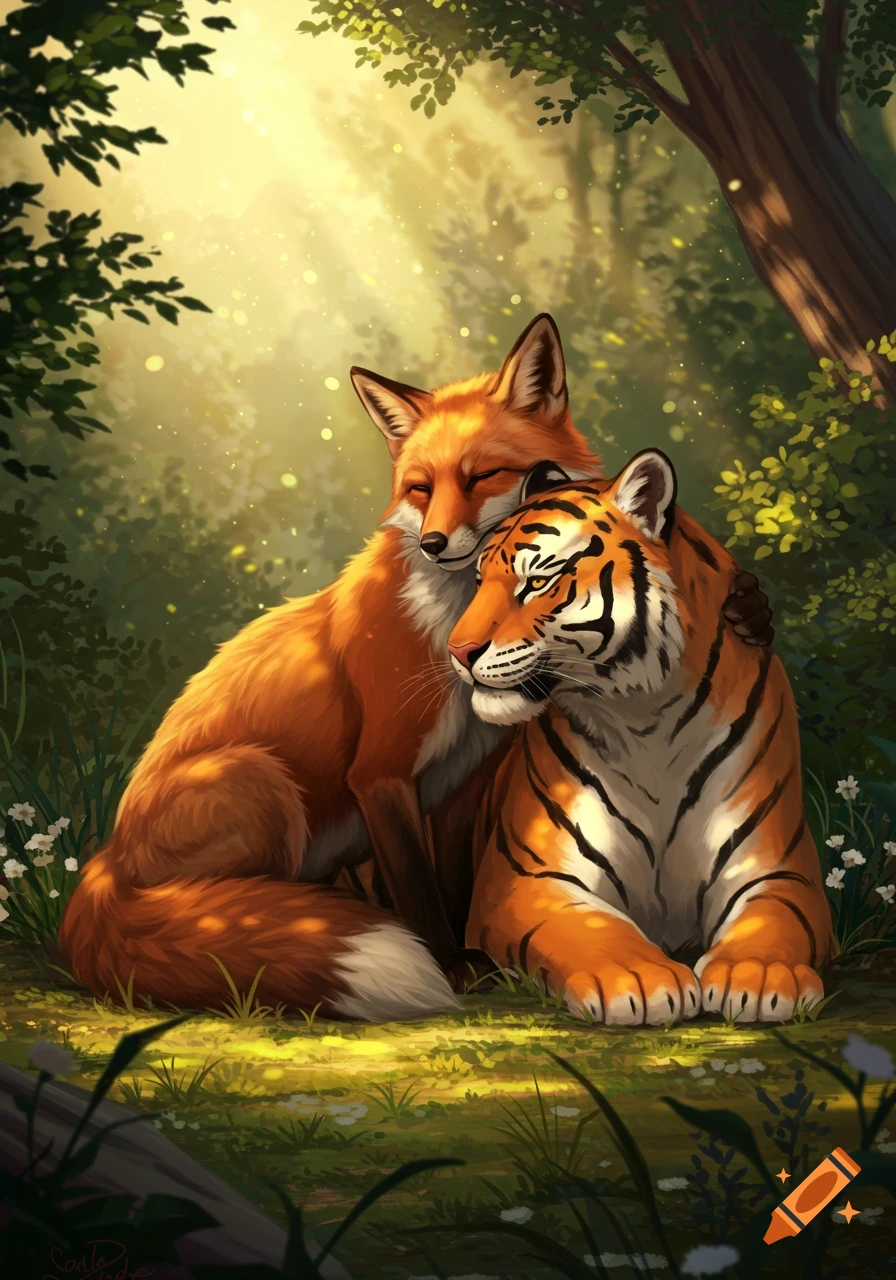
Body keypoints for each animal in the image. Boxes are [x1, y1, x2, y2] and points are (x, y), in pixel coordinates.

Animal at [58, 315, 774, 1023]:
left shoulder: (462, 777)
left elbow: (452, 882)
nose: (433, 542)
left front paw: (473, 957)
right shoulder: (381, 772)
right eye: (420, 489)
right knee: (216, 908)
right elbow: (417, 887)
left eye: (483, 476)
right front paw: (449, 967)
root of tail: (106, 857)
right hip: (265, 781)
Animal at [446, 448, 834, 1025]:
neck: (646, 716)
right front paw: (639, 978)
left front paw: (760, 976)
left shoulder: (779, 870)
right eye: (477, 582)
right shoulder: (526, 878)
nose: (457, 651)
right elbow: (590, 927)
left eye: (536, 582)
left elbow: (774, 922)